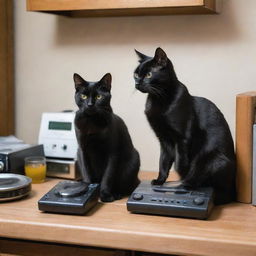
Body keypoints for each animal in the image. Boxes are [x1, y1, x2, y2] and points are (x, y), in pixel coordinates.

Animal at [73, 72, 141, 202]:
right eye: (83, 96)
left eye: (99, 97)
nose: (90, 104)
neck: (91, 123)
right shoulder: (83, 151)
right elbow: (87, 173)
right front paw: (88, 189)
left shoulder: (112, 153)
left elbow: (107, 177)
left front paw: (105, 195)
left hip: (133, 161)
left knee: (125, 186)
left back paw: (117, 194)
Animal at [134, 47, 236, 204]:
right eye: (135, 74)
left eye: (149, 74)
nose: (137, 83)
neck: (158, 99)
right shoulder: (164, 140)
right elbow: (163, 162)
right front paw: (159, 181)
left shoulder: (183, 136)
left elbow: (181, 161)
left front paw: (181, 175)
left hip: (215, 160)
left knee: (215, 188)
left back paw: (187, 184)